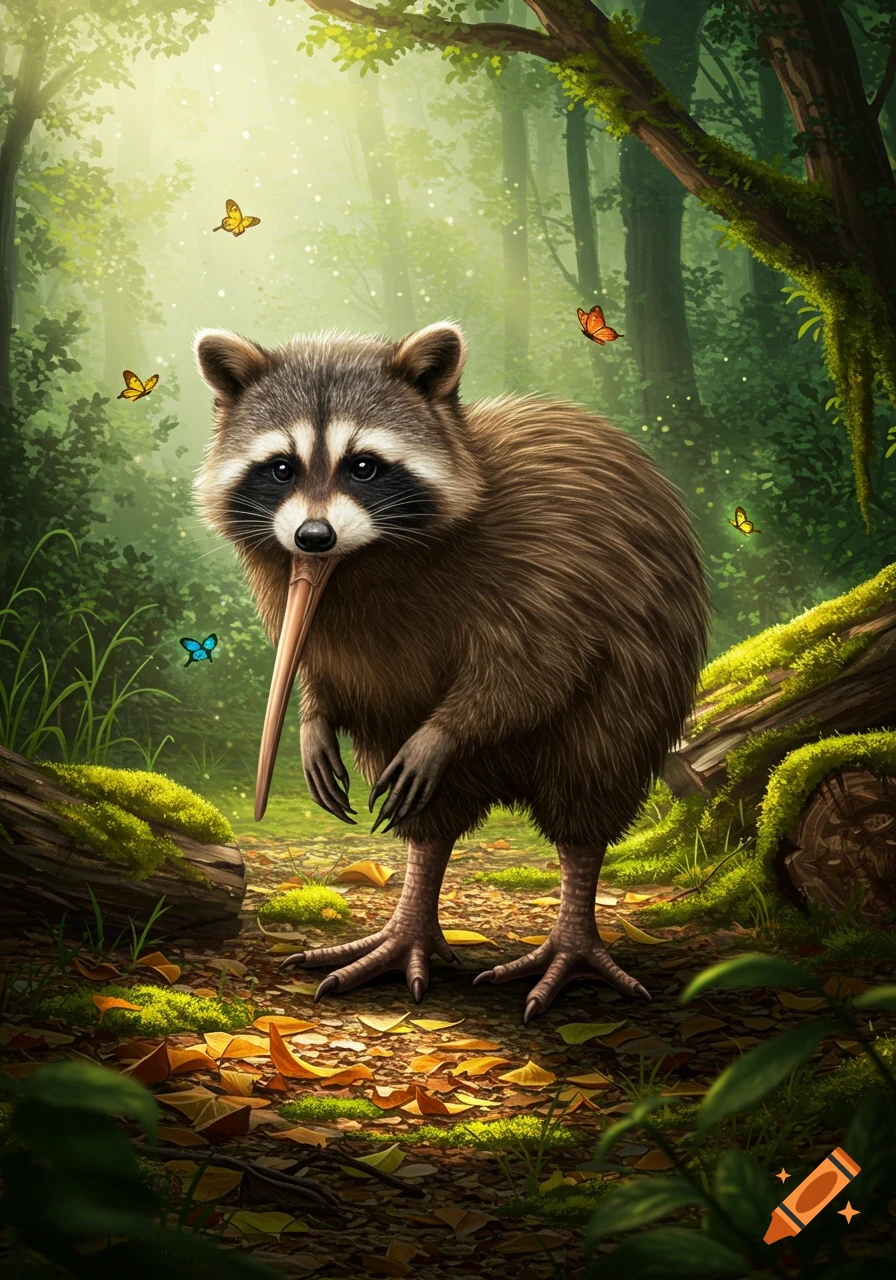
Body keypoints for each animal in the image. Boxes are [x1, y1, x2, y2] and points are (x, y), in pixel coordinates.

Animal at [194, 322, 710, 1020]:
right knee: (428, 814)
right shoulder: (302, 601)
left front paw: (445, 731)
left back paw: (572, 937)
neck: (363, 562)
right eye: (281, 468)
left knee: (590, 780)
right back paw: (409, 919)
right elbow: (317, 663)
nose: (313, 537)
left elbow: (533, 667)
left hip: (640, 682)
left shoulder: (549, 566)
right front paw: (313, 715)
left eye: (364, 465)